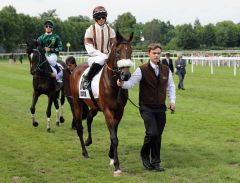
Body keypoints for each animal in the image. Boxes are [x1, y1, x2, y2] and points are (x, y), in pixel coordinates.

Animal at [70, 31, 134, 176]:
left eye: (131, 51)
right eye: (117, 51)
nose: (125, 75)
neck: (113, 85)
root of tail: (76, 69)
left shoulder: (119, 111)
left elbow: (114, 134)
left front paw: (111, 156)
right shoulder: (107, 111)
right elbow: (114, 137)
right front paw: (117, 166)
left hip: (93, 106)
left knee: (89, 118)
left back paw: (88, 141)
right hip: (77, 102)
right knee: (79, 126)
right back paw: (84, 152)